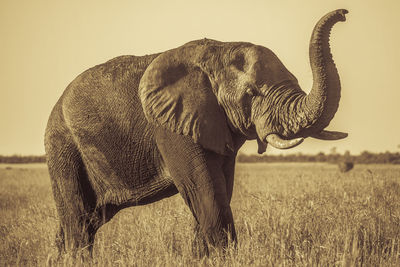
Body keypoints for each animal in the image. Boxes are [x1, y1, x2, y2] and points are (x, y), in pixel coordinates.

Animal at [44, 9, 346, 258]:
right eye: (252, 93)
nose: (344, 14)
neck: (219, 51)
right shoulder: (170, 127)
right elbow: (206, 192)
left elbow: (220, 189)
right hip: (63, 146)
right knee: (80, 221)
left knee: (86, 220)